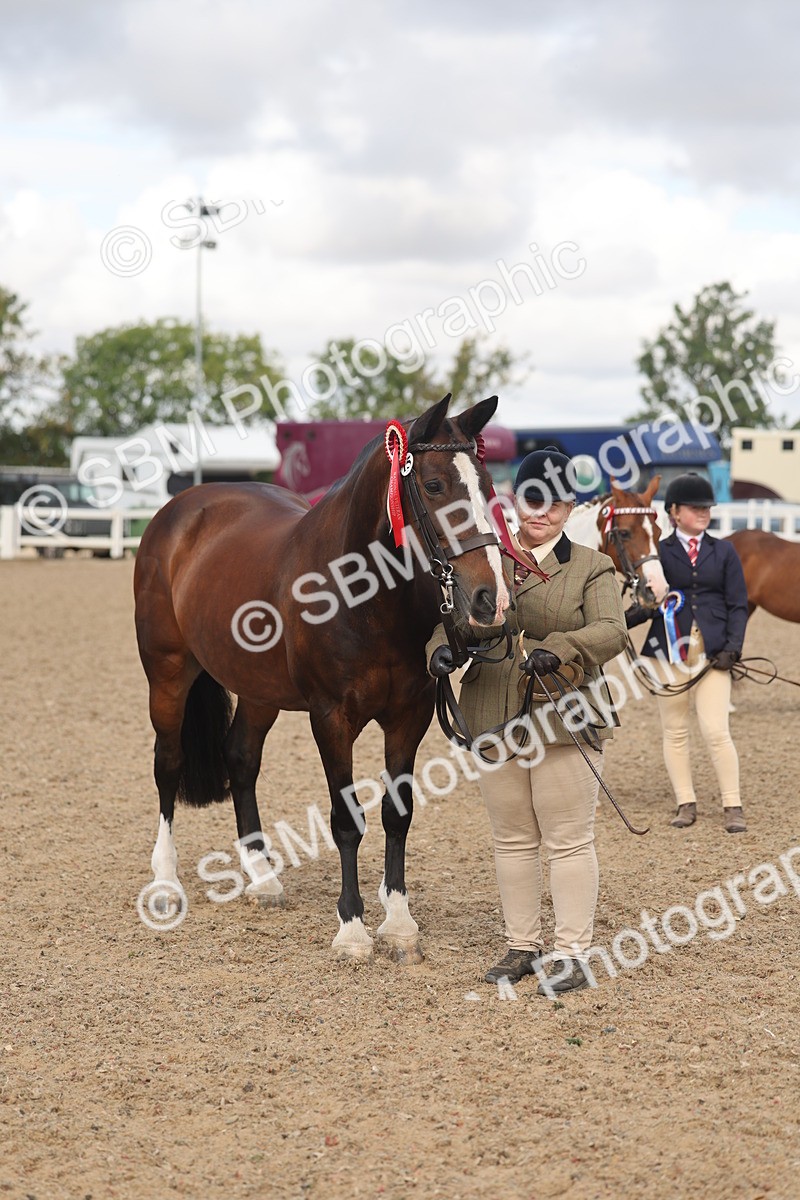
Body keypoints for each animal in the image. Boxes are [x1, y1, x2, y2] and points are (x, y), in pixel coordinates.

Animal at [133, 394, 512, 964]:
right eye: (434, 485)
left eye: (487, 485)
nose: (492, 600)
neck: (363, 597)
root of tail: (180, 508)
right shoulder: (331, 719)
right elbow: (346, 819)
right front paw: (352, 928)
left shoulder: (410, 716)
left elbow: (397, 814)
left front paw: (398, 923)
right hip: (168, 673)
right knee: (168, 763)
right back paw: (165, 883)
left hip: (258, 689)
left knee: (240, 758)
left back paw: (263, 877)